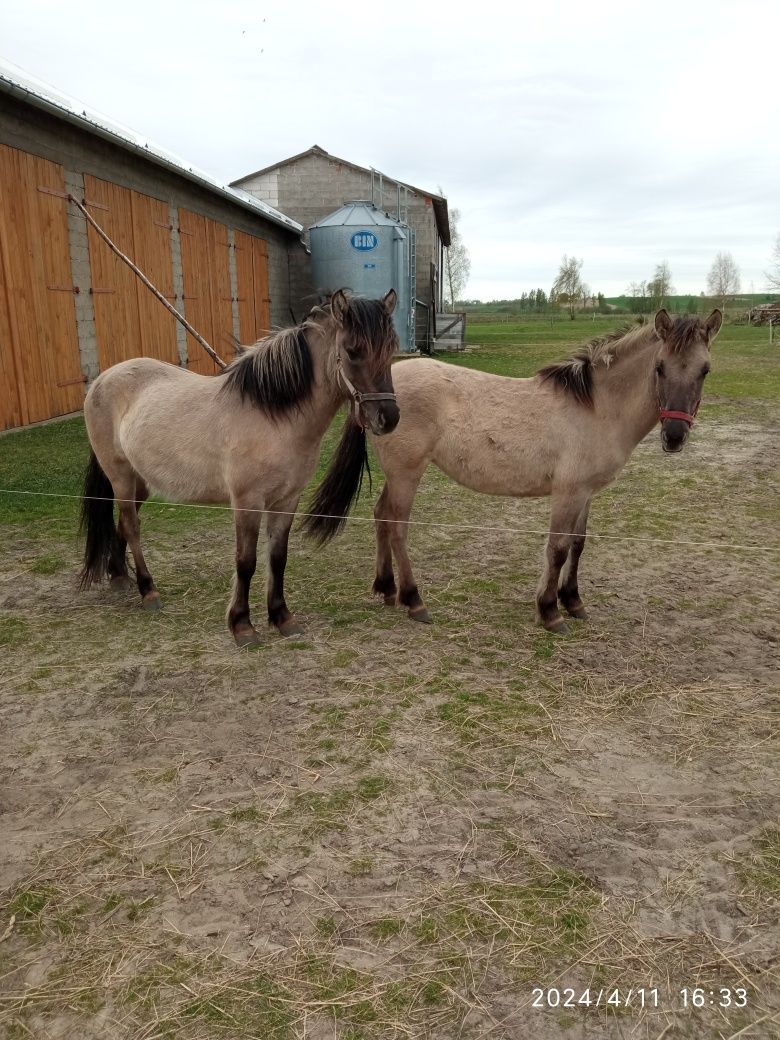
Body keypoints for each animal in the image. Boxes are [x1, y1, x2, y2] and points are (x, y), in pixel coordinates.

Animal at [80, 284, 399, 640]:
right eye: (353, 350)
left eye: (392, 347)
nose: (388, 418)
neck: (272, 416)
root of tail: (103, 379)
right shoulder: (248, 502)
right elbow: (246, 562)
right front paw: (242, 625)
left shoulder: (286, 500)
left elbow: (278, 557)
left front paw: (282, 617)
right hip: (120, 476)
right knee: (132, 525)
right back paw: (148, 591)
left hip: (141, 482)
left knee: (124, 523)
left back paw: (120, 577)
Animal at [307, 307, 723, 632]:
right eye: (660, 367)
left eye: (704, 370)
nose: (674, 436)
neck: (597, 407)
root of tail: (378, 395)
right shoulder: (568, 492)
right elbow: (557, 548)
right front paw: (550, 611)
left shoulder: (585, 493)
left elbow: (578, 544)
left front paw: (573, 602)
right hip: (407, 473)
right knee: (397, 527)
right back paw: (414, 601)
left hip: (397, 475)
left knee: (381, 516)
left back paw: (386, 588)